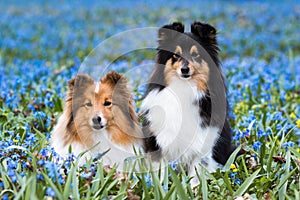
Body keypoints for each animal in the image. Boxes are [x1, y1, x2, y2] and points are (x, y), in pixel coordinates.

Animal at [141, 21, 239, 186]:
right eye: (176, 54)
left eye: (196, 54)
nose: (185, 69)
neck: (184, 88)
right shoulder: (157, 140)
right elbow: (159, 172)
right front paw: (159, 187)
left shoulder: (203, 142)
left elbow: (197, 174)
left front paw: (193, 188)